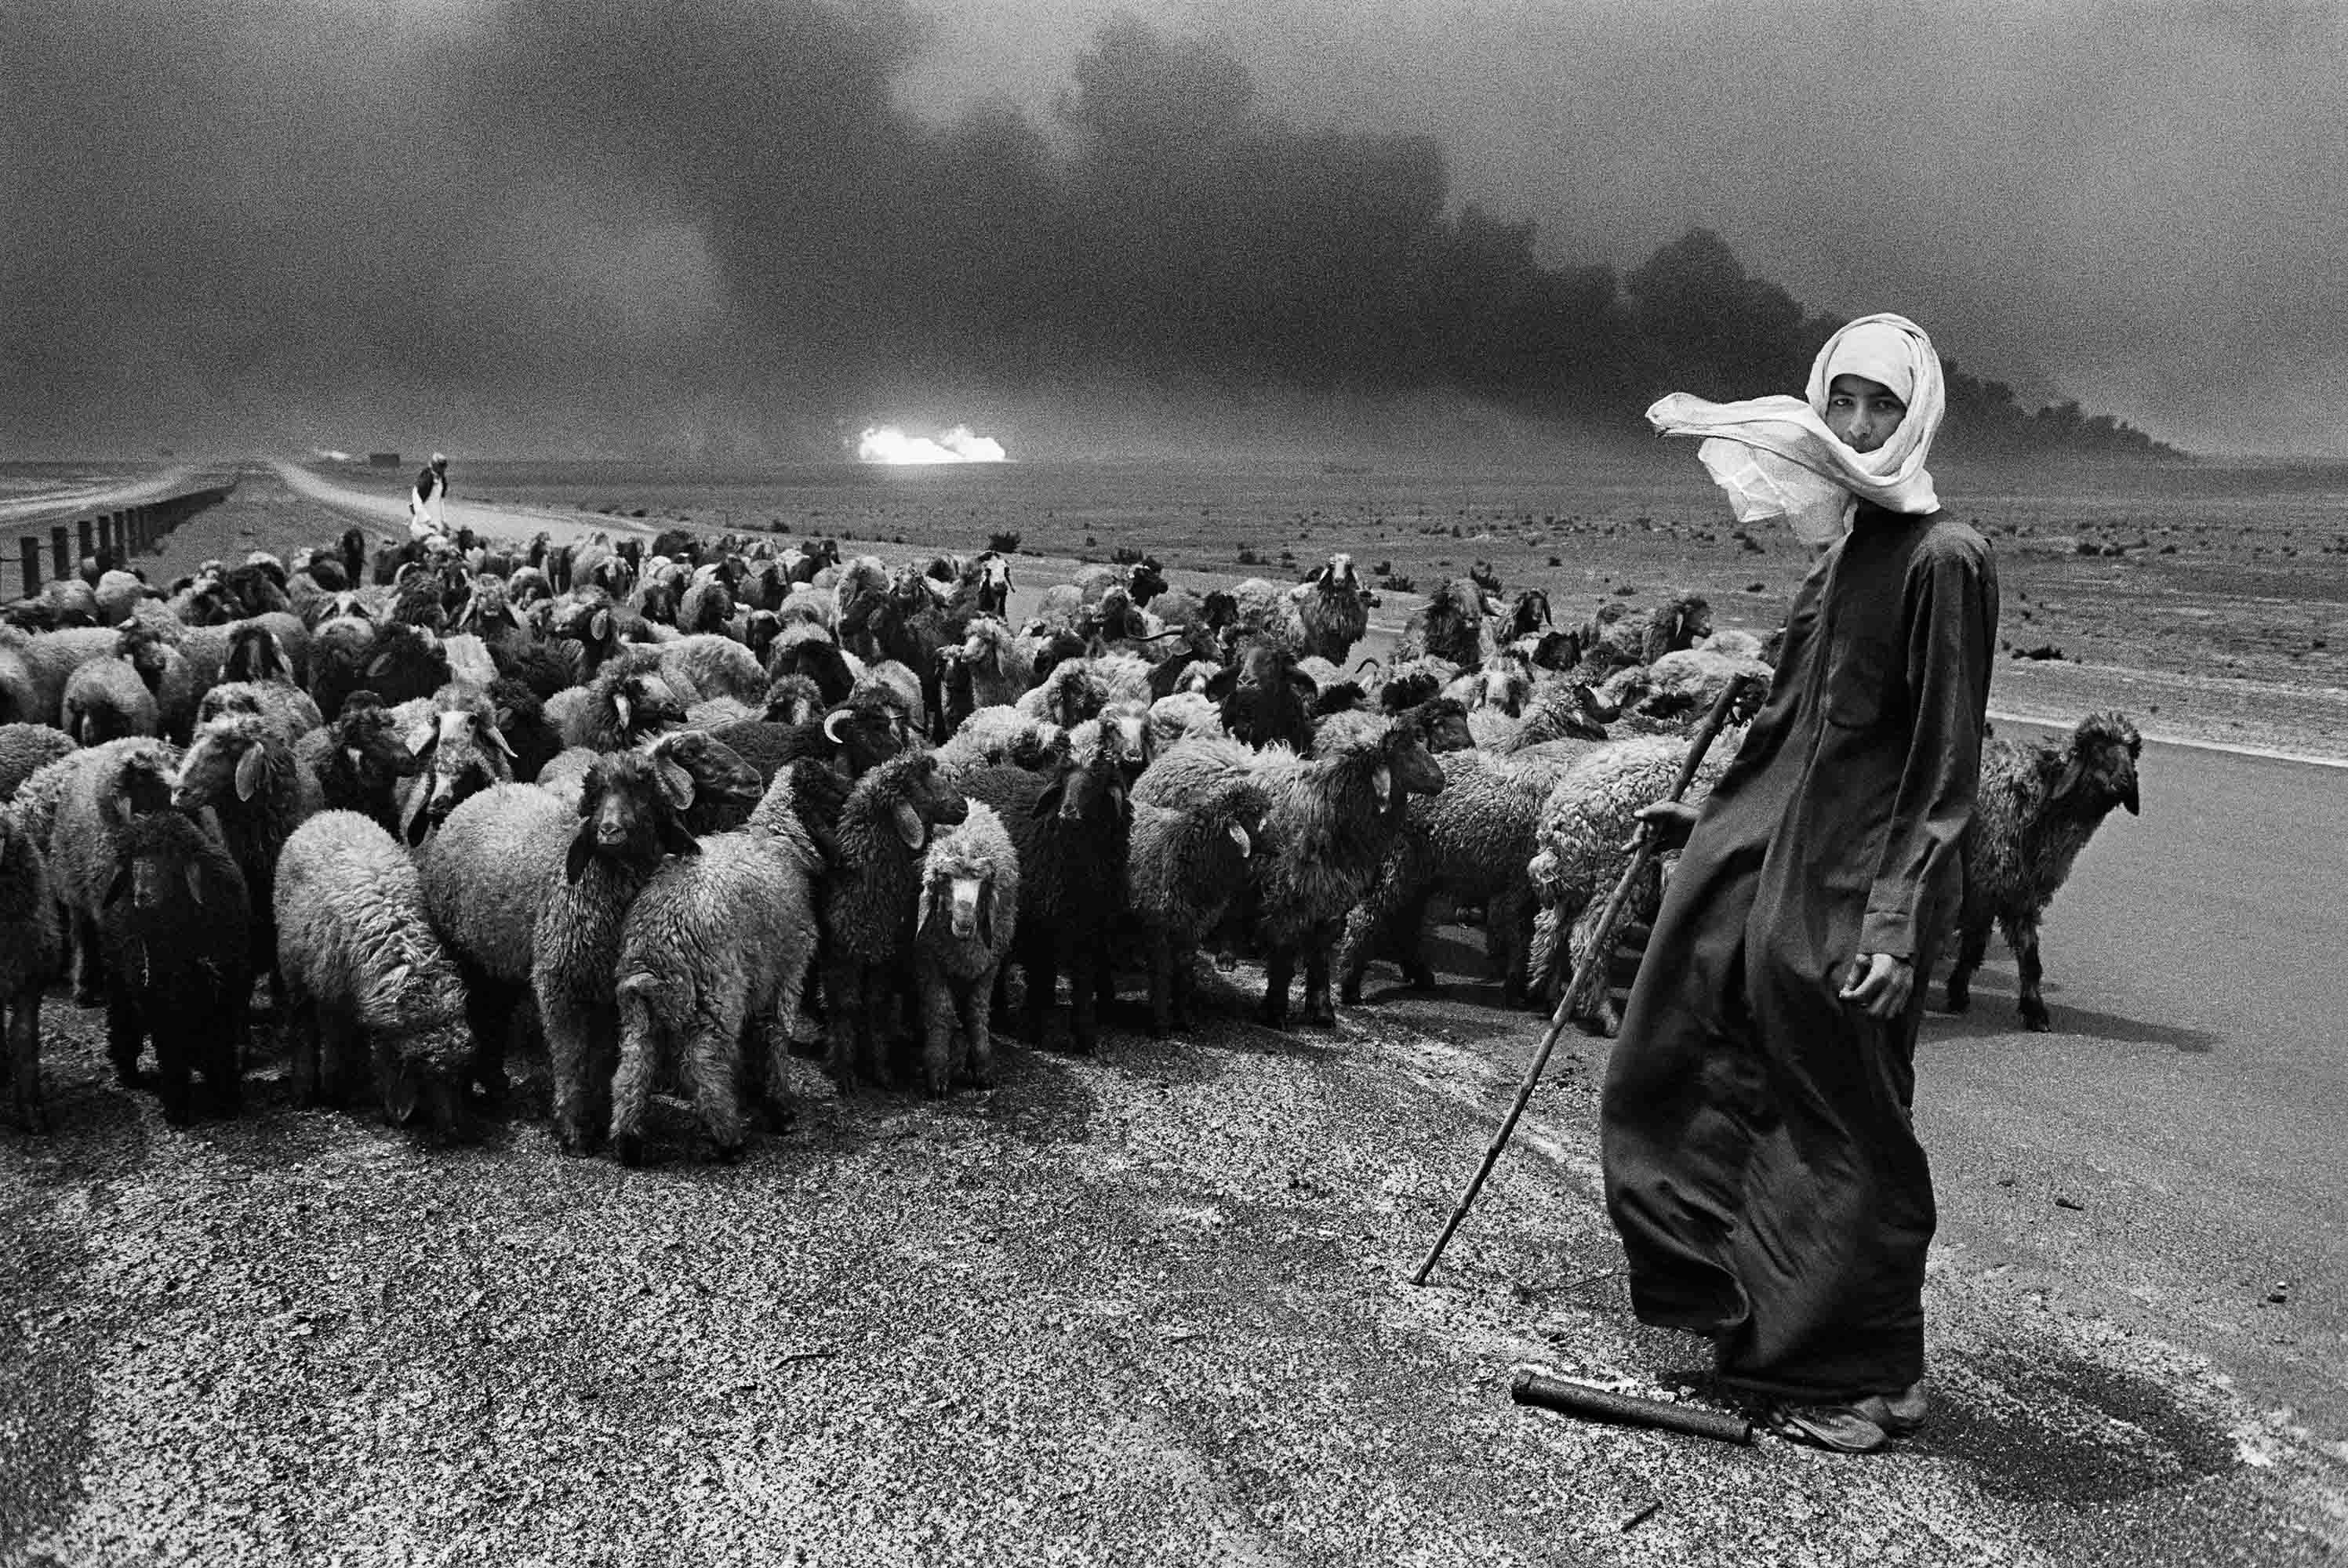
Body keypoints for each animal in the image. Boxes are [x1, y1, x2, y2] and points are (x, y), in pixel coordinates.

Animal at [95, 807, 251, 1127]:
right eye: (132, 864)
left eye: (169, 859)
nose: (143, 897)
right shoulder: (160, 1003)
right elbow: (171, 1052)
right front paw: (177, 1108)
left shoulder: (225, 993)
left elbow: (221, 1045)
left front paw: (227, 1099)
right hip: (117, 981)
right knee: (124, 1025)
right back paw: (130, 1075)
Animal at [826, 751, 972, 1089]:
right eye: (921, 783)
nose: (964, 807)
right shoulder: (844, 954)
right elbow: (845, 1007)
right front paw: (844, 1070)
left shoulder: (885, 958)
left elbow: (877, 1005)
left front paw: (882, 1070)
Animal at [1944, 709, 2150, 1028]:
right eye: (2098, 747)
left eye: (2133, 751)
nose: (2126, 781)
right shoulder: (1985, 880)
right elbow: (1974, 945)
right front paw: (1956, 995)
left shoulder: (2022, 892)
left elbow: (2029, 956)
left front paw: (2035, 1011)